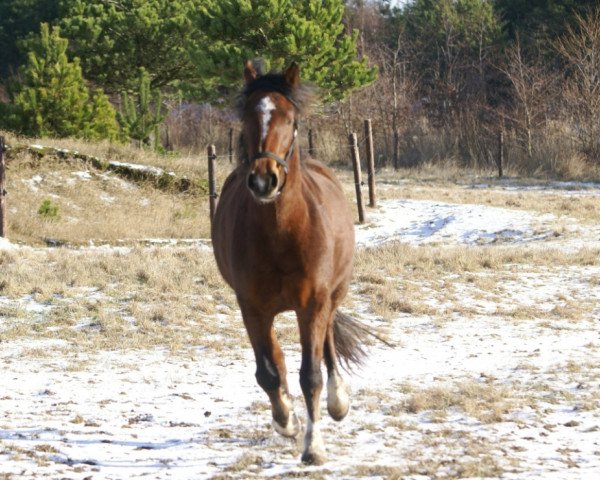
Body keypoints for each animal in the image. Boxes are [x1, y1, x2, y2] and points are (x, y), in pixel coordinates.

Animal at [213, 61, 368, 464]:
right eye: (247, 116)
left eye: (290, 118)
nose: (264, 180)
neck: (281, 232)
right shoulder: (251, 307)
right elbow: (268, 372)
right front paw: (287, 422)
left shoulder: (312, 303)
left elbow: (310, 374)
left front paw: (314, 446)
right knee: (277, 359)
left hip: (332, 295)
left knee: (327, 342)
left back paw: (338, 401)